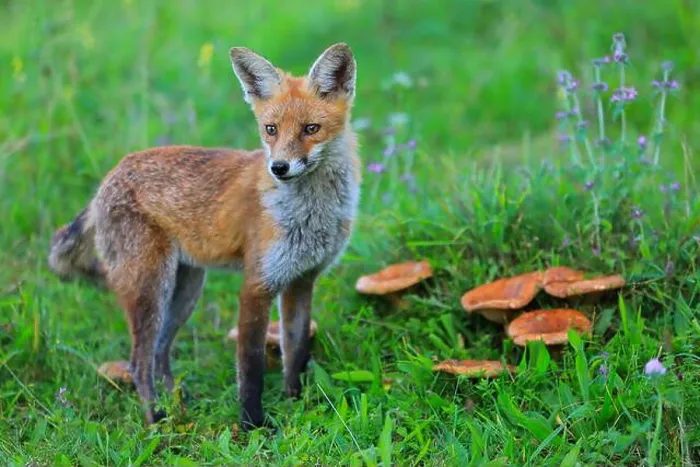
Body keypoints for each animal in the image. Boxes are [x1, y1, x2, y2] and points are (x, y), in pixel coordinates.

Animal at [47, 43, 361, 429]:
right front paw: (252, 426)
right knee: (139, 362)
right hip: (152, 288)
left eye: (310, 128)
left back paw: (179, 404)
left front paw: (296, 402)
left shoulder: (302, 279)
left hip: (185, 288)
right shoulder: (257, 285)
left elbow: (296, 350)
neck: (310, 215)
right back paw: (156, 418)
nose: (279, 167)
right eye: (271, 129)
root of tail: (105, 182)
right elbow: (251, 369)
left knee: (160, 353)